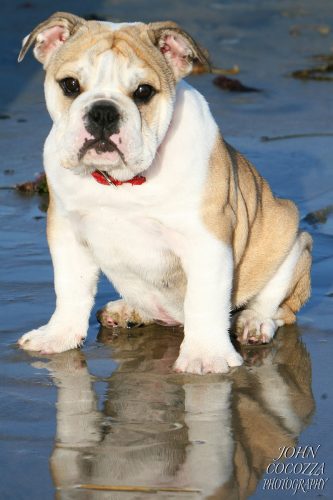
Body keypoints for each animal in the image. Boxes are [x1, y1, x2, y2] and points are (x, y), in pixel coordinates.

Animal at [17, 11, 312, 374]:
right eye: (70, 85)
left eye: (144, 92)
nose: (103, 111)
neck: (120, 182)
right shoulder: (67, 232)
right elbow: (70, 288)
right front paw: (58, 335)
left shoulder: (206, 239)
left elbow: (204, 299)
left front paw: (205, 355)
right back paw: (127, 310)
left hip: (291, 239)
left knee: (277, 305)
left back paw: (254, 322)